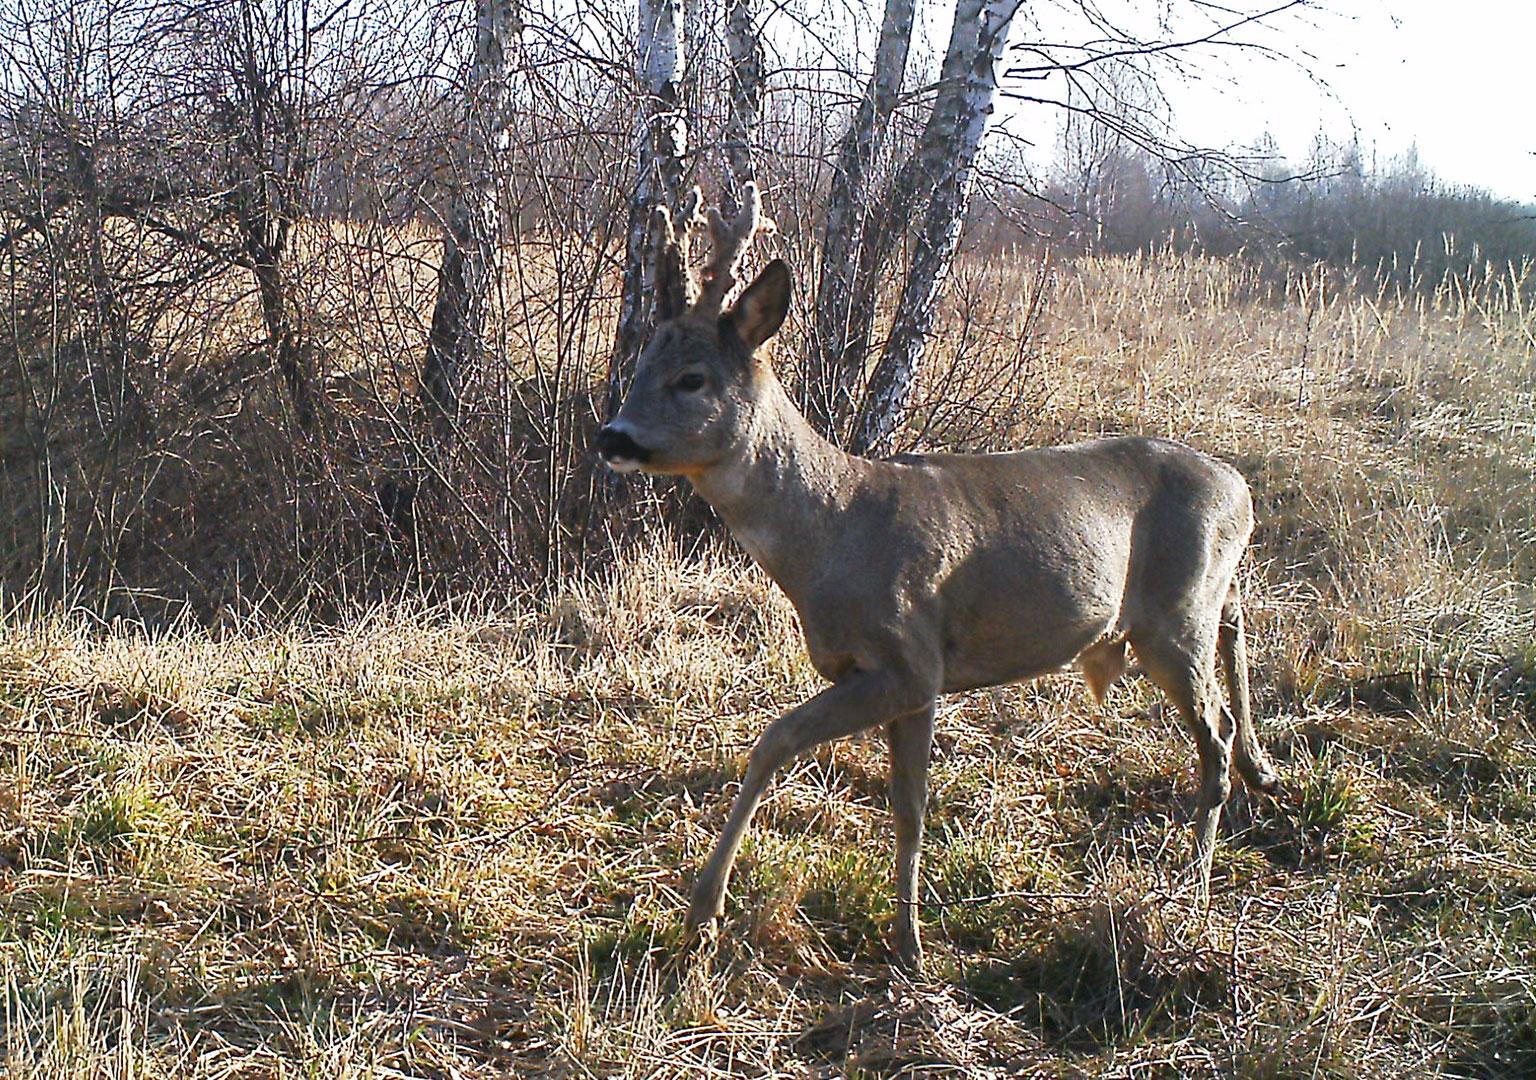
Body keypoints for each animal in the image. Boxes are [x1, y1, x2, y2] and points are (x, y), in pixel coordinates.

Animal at [592, 183, 1277, 970]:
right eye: (640, 368)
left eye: (691, 378)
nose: (612, 437)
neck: (835, 533)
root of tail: (1242, 489)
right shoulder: (897, 679)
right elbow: (906, 803)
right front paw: (904, 936)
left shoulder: (912, 661)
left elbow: (780, 743)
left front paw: (708, 912)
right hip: (1190, 610)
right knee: (1233, 664)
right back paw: (1248, 794)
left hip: (1175, 619)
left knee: (1216, 733)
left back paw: (1191, 885)